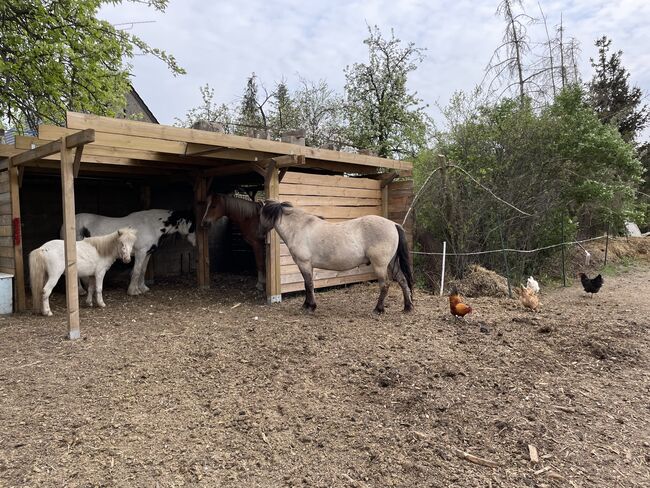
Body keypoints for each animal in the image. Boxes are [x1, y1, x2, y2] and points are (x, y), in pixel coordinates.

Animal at [63, 209, 196, 296]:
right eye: (193, 226)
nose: (196, 244)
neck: (151, 225)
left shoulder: (147, 253)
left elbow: (143, 270)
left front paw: (143, 288)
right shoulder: (140, 253)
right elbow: (137, 271)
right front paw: (133, 291)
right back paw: (81, 291)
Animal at [256, 201, 410, 312]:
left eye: (260, 215)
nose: (259, 235)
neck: (300, 227)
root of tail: (393, 224)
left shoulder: (304, 263)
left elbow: (308, 284)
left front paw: (310, 306)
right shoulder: (308, 266)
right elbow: (308, 284)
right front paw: (307, 304)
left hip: (380, 265)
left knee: (385, 285)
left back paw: (378, 309)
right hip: (392, 263)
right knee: (402, 280)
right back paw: (407, 307)